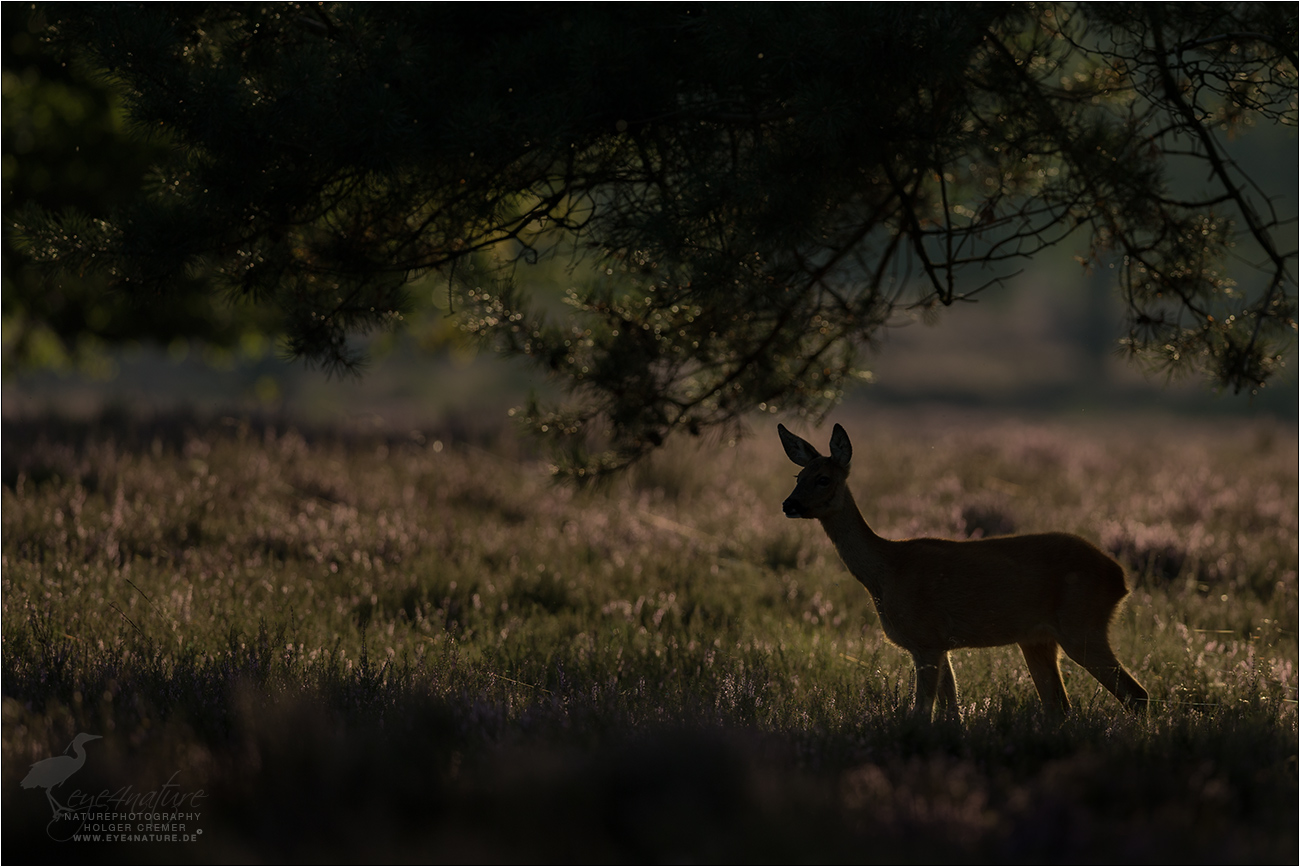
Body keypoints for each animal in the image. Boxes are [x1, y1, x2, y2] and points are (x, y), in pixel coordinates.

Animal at [774, 423, 1144, 722]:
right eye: (798, 477)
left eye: (823, 479)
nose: (788, 504)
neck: (886, 571)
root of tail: (1120, 579)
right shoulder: (941, 644)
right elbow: (952, 712)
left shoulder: (926, 637)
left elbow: (922, 713)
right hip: (1038, 638)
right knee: (1061, 707)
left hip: (1082, 625)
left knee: (1135, 695)